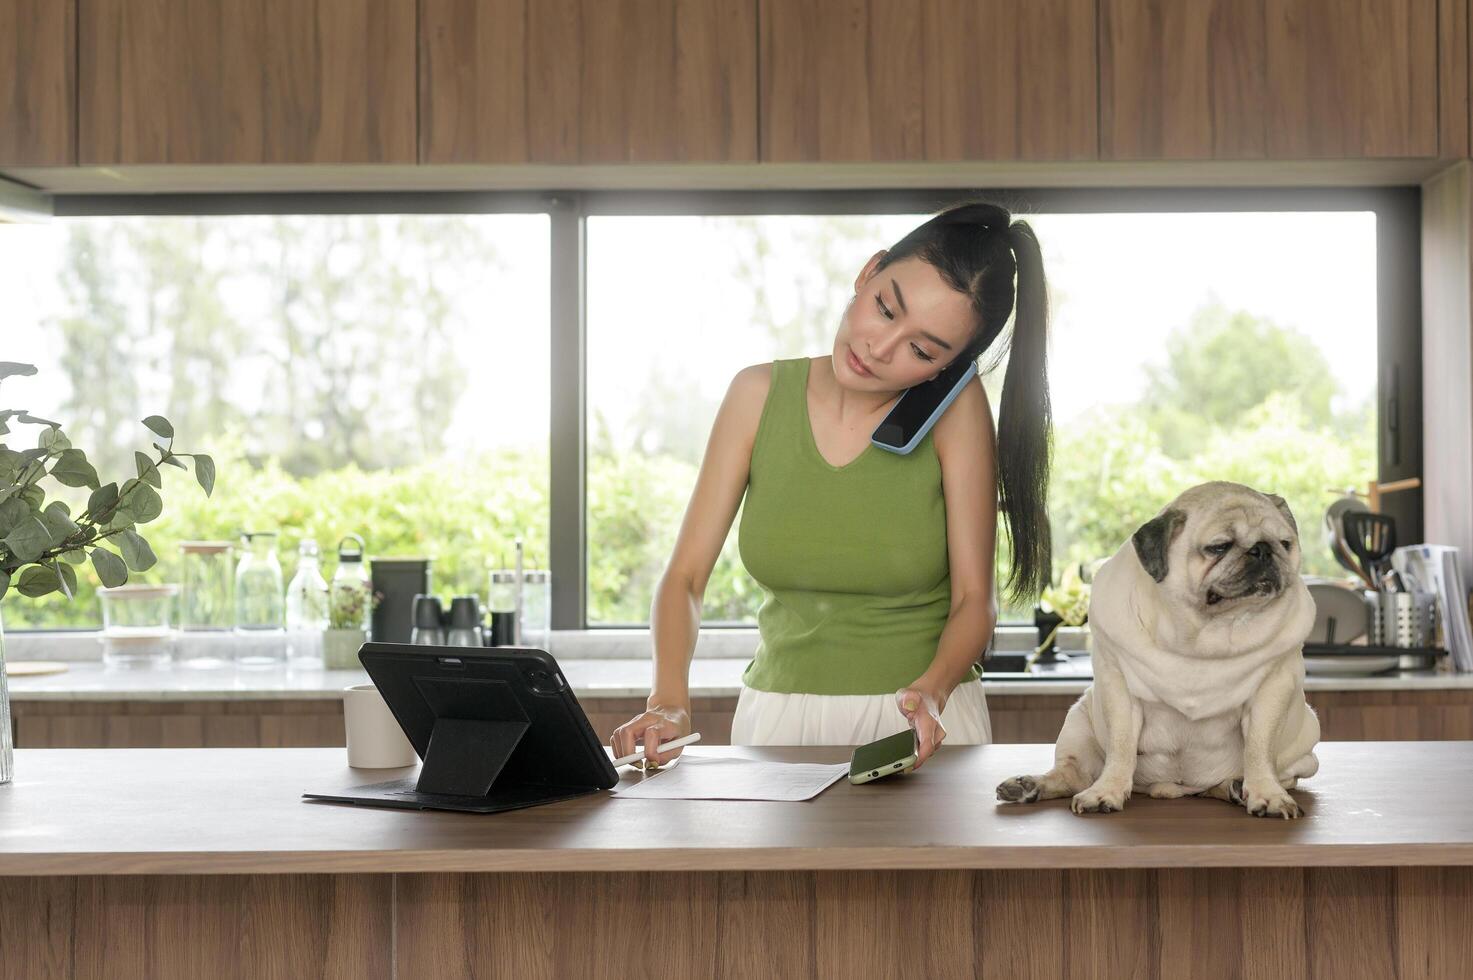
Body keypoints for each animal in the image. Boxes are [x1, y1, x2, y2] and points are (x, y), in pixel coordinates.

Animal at [995, 480, 1319, 819]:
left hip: (1302, 749)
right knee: (1072, 774)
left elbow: (1258, 748)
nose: (1263, 550)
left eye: (1285, 543)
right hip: (1077, 723)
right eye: (1219, 547)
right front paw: (1107, 791)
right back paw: (1029, 786)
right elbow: (1121, 748)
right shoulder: (1119, 690)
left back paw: (1234, 787)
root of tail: (1172, 788)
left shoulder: (1272, 691)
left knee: (1228, 782)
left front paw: (1266, 794)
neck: (1207, 632)